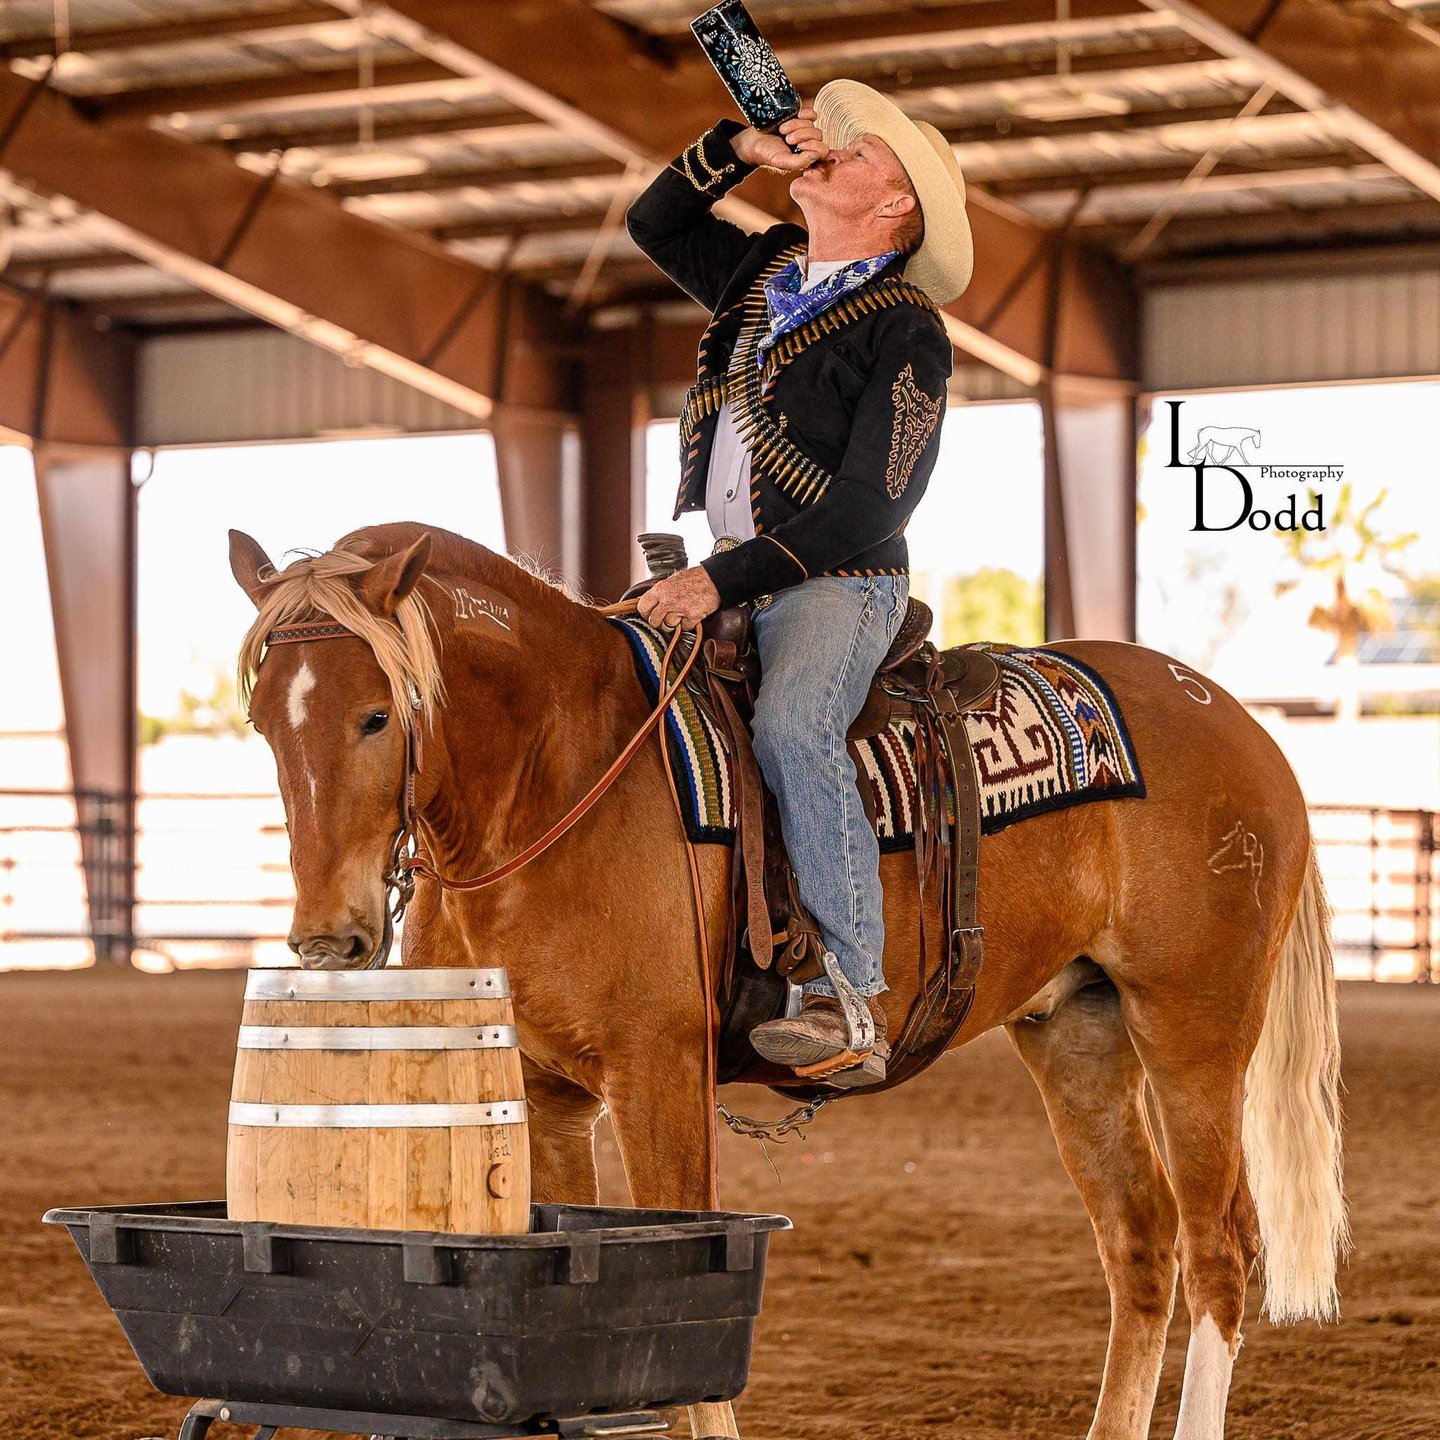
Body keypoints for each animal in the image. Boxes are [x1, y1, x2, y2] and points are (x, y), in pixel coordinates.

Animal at [229, 521, 1347, 1440]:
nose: (328, 940)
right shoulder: (541, 1097)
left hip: (1194, 1029)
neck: (556, 772)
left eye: (378, 716)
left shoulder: (658, 1074)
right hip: (1079, 1033)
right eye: (266, 721)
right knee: (1141, 1244)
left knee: (1219, 1250)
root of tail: (1243, 727)